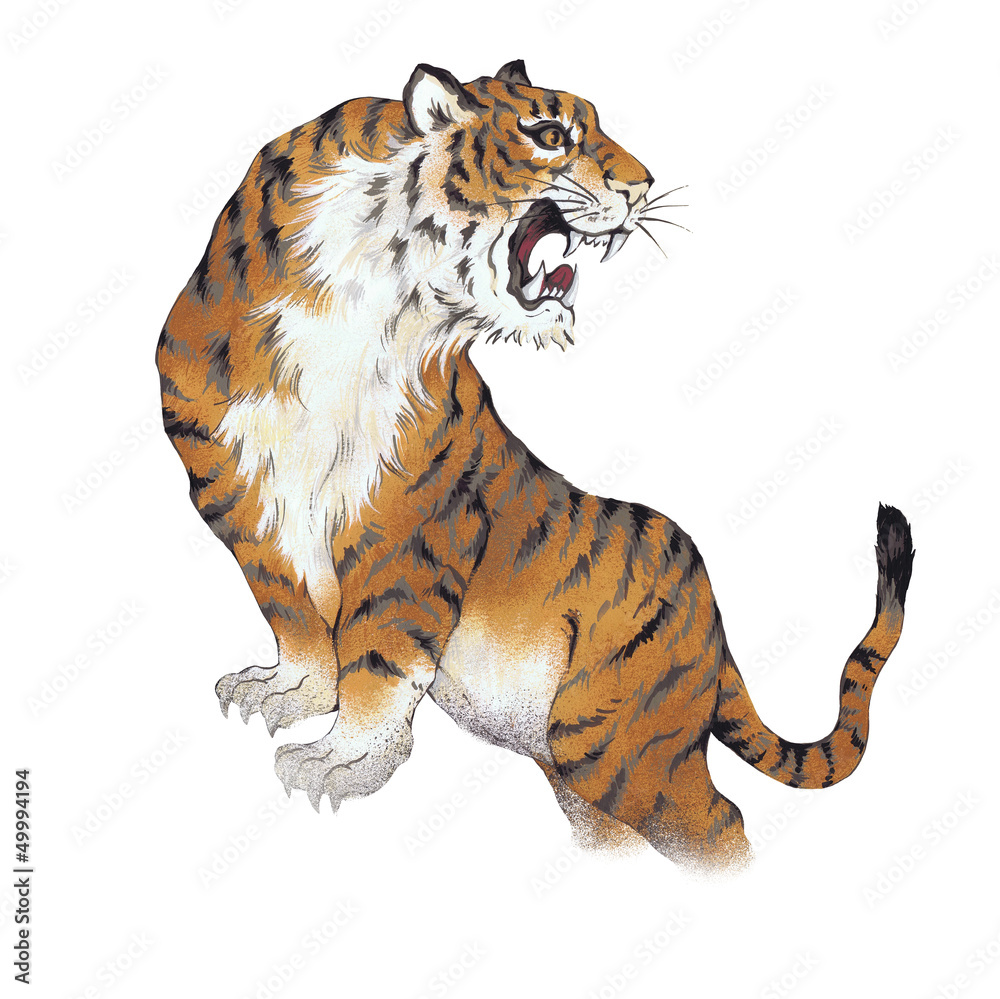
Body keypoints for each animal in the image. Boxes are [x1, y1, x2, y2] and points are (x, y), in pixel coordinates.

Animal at [156, 60, 914, 874]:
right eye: (551, 136)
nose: (644, 185)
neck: (364, 295)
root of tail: (712, 622)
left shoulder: (408, 528)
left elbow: (379, 655)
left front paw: (343, 760)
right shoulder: (239, 496)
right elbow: (291, 609)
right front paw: (290, 692)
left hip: (613, 743)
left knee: (719, 825)